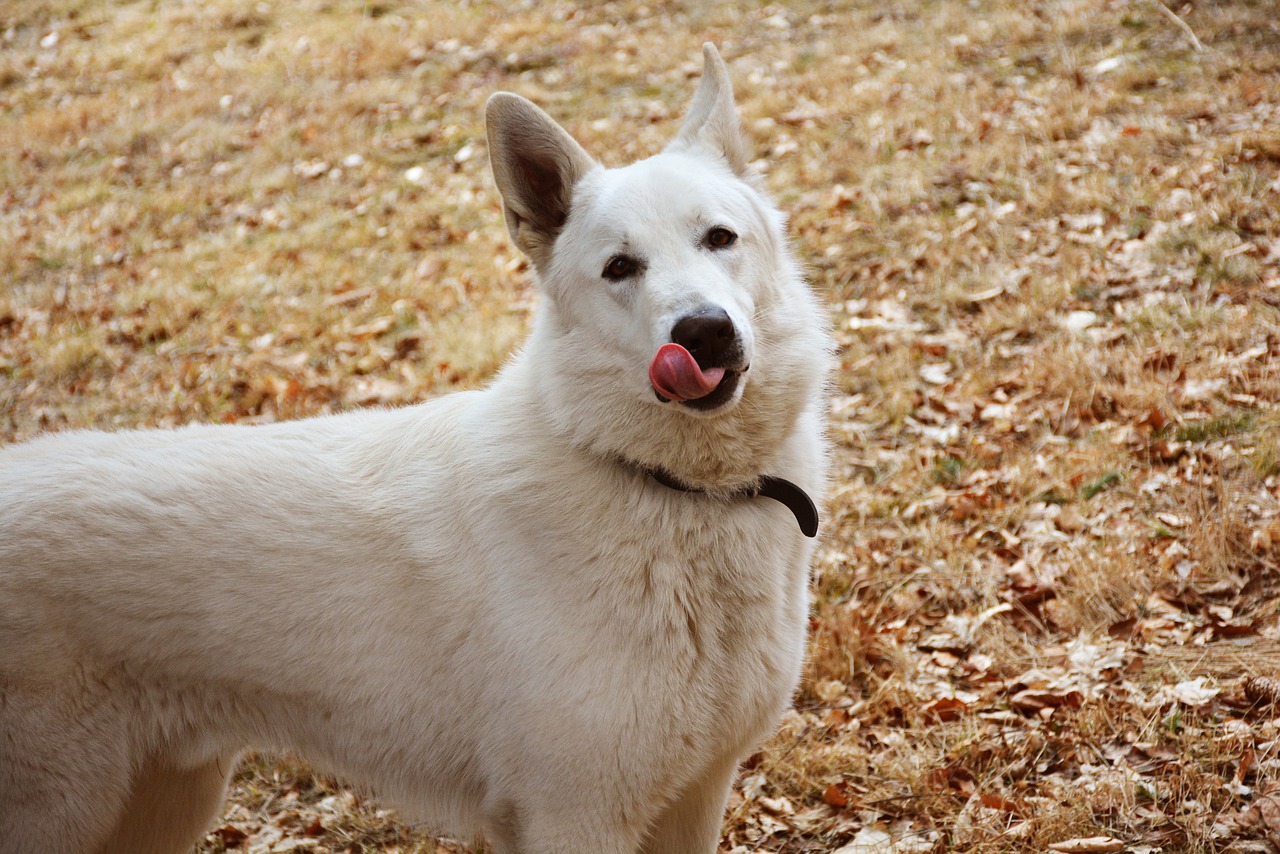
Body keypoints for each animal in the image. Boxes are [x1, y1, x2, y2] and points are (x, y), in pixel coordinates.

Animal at [0, 43, 829, 850]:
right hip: (72, 811)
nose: (704, 333)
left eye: (719, 238)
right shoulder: (577, 818)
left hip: (165, 804)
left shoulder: (695, 797)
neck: (672, 488)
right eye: (620, 268)